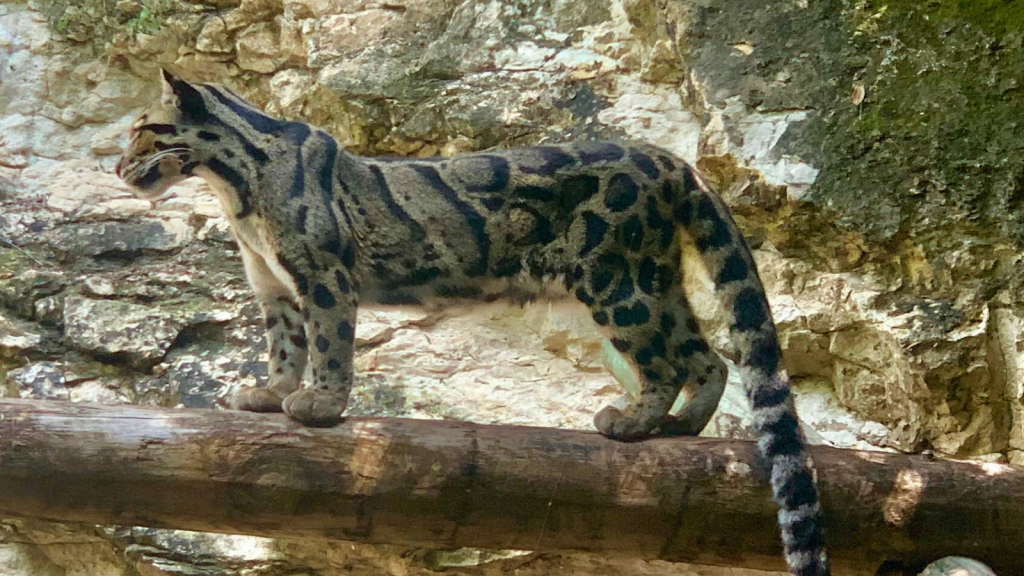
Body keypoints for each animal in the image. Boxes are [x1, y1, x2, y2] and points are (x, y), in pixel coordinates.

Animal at [116, 69, 827, 569]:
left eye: (143, 130)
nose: (118, 167)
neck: (233, 186)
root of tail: (670, 159)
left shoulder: (323, 278)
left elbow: (329, 345)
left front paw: (320, 405)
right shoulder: (277, 291)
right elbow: (284, 348)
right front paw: (271, 394)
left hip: (616, 279)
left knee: (664, 360)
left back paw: (636, 422)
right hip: (653, 276)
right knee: (706, 355)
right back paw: (683, 427)